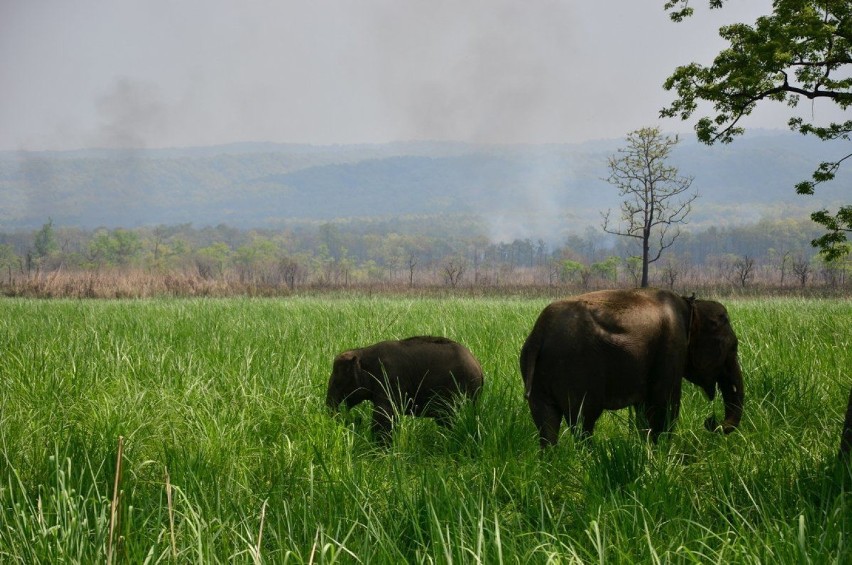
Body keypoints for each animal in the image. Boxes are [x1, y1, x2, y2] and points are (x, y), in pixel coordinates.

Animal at [326, 334, 486, 440]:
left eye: (336, 382)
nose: (353, 420)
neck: (362, 352)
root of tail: (479, 367)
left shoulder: (390, 380)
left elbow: (384, 414)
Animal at [516, 288, 744, 448]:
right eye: (734, 347)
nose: (711, 421)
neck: (691, 306)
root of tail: (540, 332)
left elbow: (645, 409)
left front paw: (647, 448)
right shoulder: (672, 347)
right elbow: (666, 404)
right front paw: (662, 451)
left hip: (535, 369)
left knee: (546, 423)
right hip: (576, 368)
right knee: (583, 421)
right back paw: (590, 460)